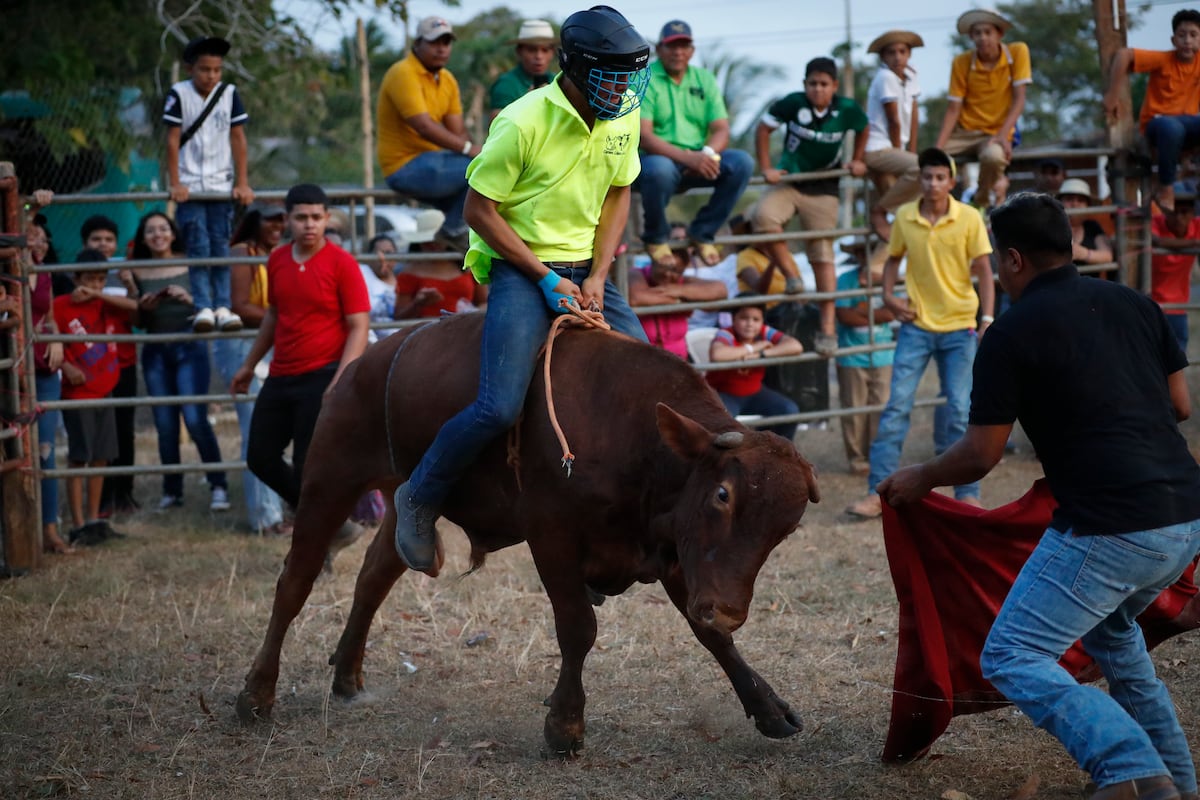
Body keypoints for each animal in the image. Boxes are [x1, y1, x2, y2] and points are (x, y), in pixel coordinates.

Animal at [236, 311, 816, 758]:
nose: (729, 609)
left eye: (785, 529)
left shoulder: (677, 550)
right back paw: (257, 694)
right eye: (722, 494)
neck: (631, 432)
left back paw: (347, 675)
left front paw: (768, 709)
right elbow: (578, 628)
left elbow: (710, 636)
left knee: (375, 577)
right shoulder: (552, 535)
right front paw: (565, 726)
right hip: (329, 477)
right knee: (295, 583)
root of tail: (363, 364)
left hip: (405, 501)